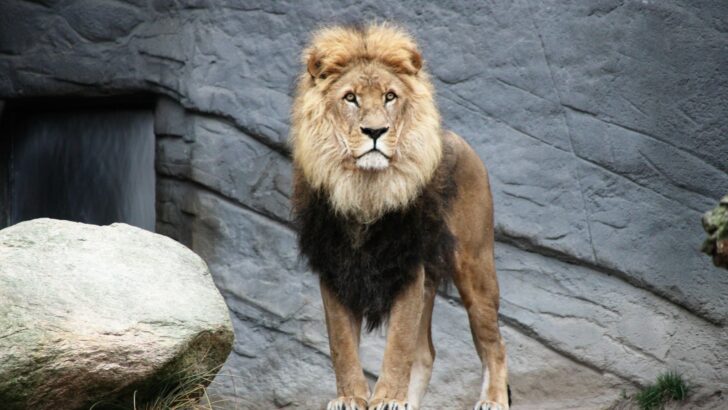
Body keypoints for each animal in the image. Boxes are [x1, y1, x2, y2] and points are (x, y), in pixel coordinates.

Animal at [290, 23, 510, 410]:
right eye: (351, 98)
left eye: (390, 97)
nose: (375, 131)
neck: (365, 190)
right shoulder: (335, 269)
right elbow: (342, 346)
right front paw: (351, 397)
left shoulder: (407, 267)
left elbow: (397, 346)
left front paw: (387, 399)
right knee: (426, 353)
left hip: (475, 264)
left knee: (494, 344)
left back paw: (493, 400)